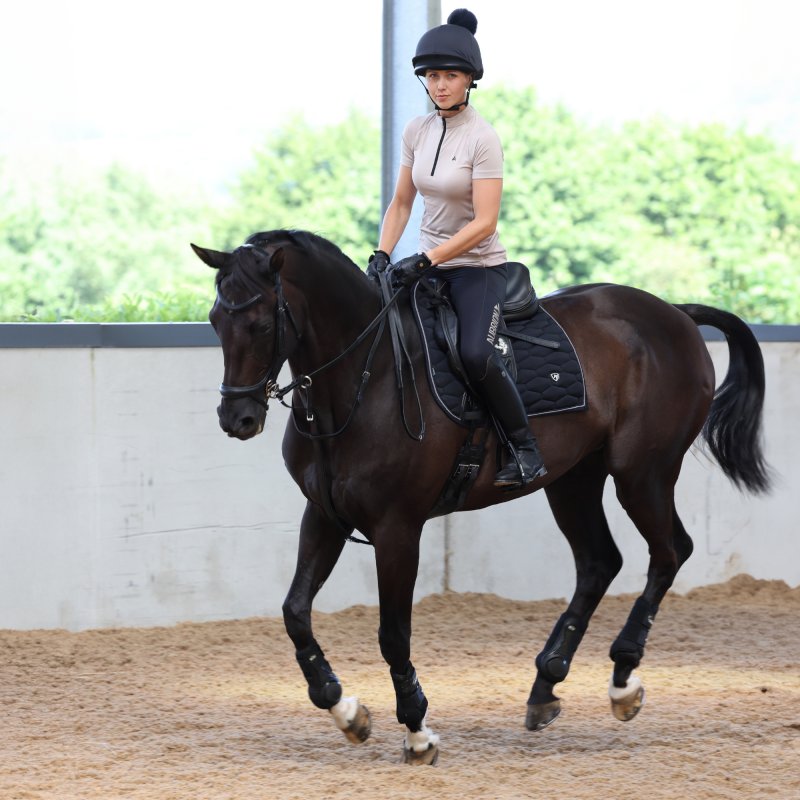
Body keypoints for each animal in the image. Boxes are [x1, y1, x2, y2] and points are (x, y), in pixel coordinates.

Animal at [191, 230, 772, 764]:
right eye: (216, 321)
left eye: (261, 324)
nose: (236, 419)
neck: (365, 378)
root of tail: (674, 312)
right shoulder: (325, 515)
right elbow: (294, 611)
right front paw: (344, 708)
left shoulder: (397, 528)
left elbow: (392, 633)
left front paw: (417, 730)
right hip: (573, 478)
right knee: (599, 562)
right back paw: (545, 687)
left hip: (642, 474)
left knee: (670, 552)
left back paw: (623, 680)